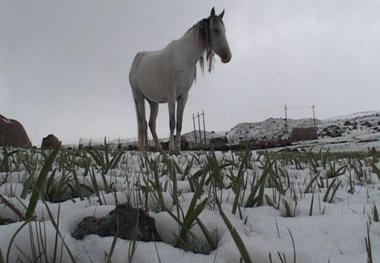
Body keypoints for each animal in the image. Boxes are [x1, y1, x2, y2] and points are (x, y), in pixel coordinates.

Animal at [129, 7, 232, 153]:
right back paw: (144, 150)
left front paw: (178, 149)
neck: (184, 57)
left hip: (153, 102)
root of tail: (137, 59)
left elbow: (179, 123)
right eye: (216, 30)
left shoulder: (183, 96)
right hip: (139, 97)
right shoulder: (172, 97)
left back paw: (159, 149)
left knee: (151, 124)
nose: (228, 57)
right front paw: (172, 149)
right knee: (142, 122)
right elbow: (172, 122)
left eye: (224, 30)